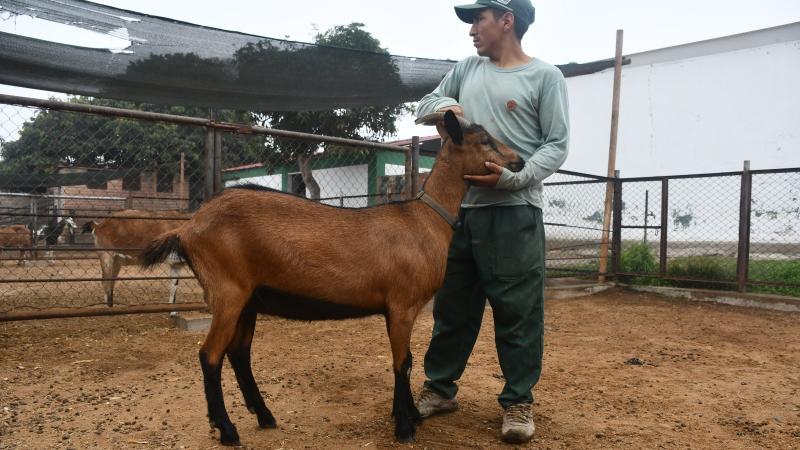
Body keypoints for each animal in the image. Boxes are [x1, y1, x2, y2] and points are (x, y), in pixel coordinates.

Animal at [141, 111, 525, 445]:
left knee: (238, 354)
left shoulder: (397, 309)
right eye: (485, 140)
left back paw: (264, 416)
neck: (424, 220)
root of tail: (188, 227)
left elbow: (405, 363)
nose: (519, 161)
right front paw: (404, 427)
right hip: (227, 292)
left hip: (248, 299)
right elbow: (403, 363)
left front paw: (409, 415)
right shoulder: (402, 305)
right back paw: (228, 430)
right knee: (210, 355)